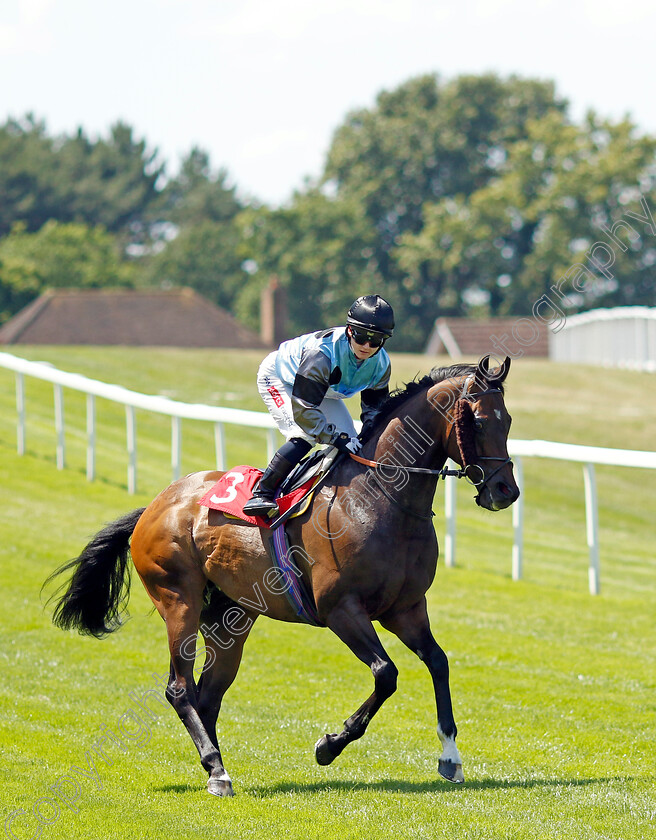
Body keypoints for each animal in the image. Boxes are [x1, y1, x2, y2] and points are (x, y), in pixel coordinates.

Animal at [47, 358, 516, 796]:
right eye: (477, 421)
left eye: (507, 420)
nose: (505, 491)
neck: (381, 500)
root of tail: (155, 504)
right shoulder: (341, 609)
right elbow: (386, 673)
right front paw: (330, 745)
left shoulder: (406, 608)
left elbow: (438, 662)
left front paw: (451, 756)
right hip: (179, 600)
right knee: (179, 688)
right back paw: (217, 768)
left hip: (230, 619)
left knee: (207, 695)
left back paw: (215, 767)